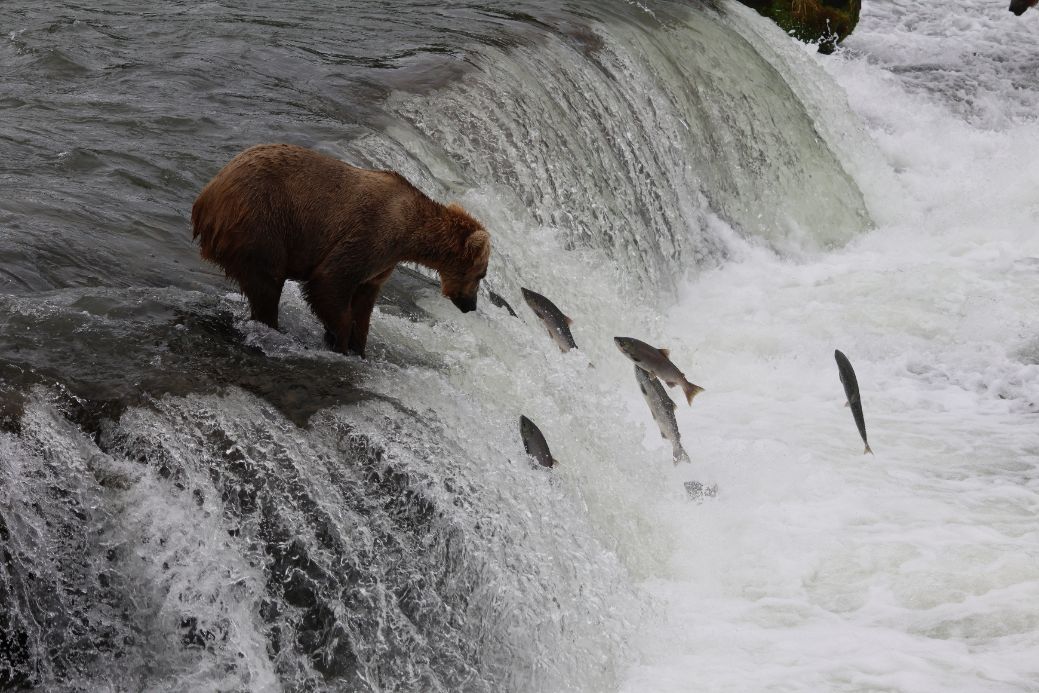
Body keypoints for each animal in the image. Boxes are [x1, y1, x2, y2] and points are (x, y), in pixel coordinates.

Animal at [191, 143, 491, 357]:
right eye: (482, 274)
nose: (471, 305)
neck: (408, 235)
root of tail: (207, 194)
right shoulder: (371, 233)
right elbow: (331, 281)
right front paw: (340, 340)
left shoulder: (381, 264)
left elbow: (363, 303)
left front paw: (358, 346)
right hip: (262, 222)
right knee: (266, 283)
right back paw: (272, 327)